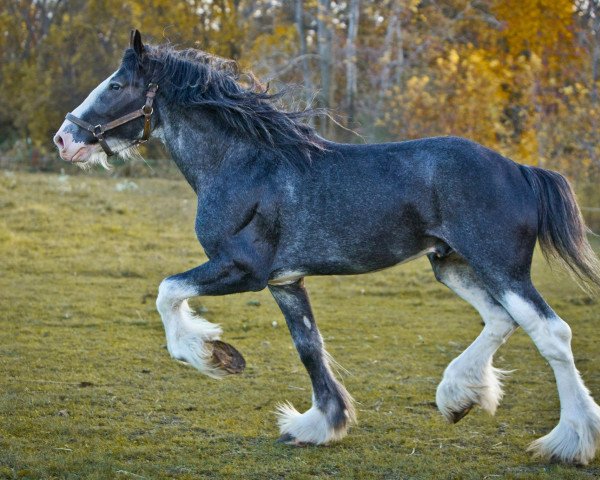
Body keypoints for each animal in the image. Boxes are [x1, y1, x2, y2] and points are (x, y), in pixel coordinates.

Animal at [52, 31, 600, 464]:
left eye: (116, 85)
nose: (64, 139)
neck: (243, 165)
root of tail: (520, 170)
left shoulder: (242, 269)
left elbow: (168, 291)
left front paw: (214, 356)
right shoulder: (285, 280)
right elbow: (309, 347)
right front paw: (317, 425)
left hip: (501, 267)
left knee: (551, 333)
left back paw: (569, 442)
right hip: (452, 266)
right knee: (501, 320)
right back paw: (459, 397)